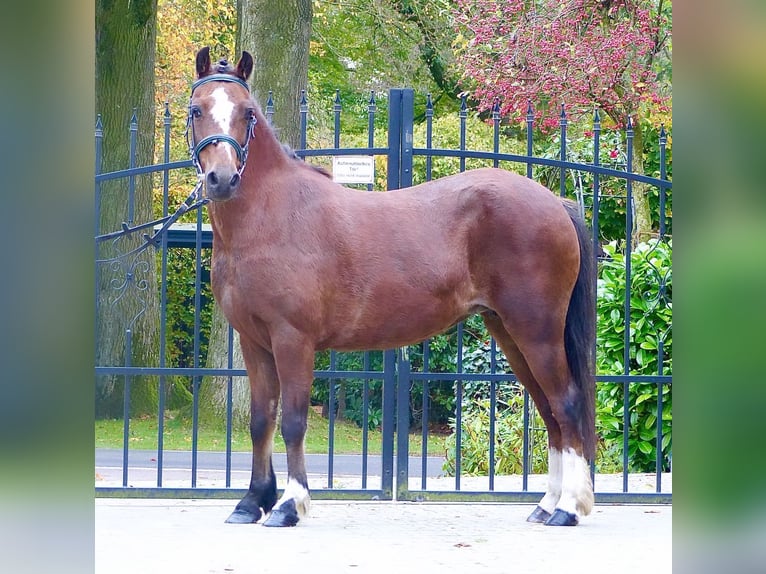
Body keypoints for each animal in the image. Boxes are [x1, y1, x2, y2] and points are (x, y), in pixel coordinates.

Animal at [189, 47, 596, 528]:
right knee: (548, 410)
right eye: (196, 110)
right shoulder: (253, 342)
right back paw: (547, 504)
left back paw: (568, 508)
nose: (222, 179)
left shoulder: (292, 339)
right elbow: (259, 421)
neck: (271, 214)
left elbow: (292, 421)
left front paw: (289, 504)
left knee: (565, 403)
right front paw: (252, 502)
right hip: (510, 332)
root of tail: (555, 203)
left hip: (537, 331)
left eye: (247, 113)